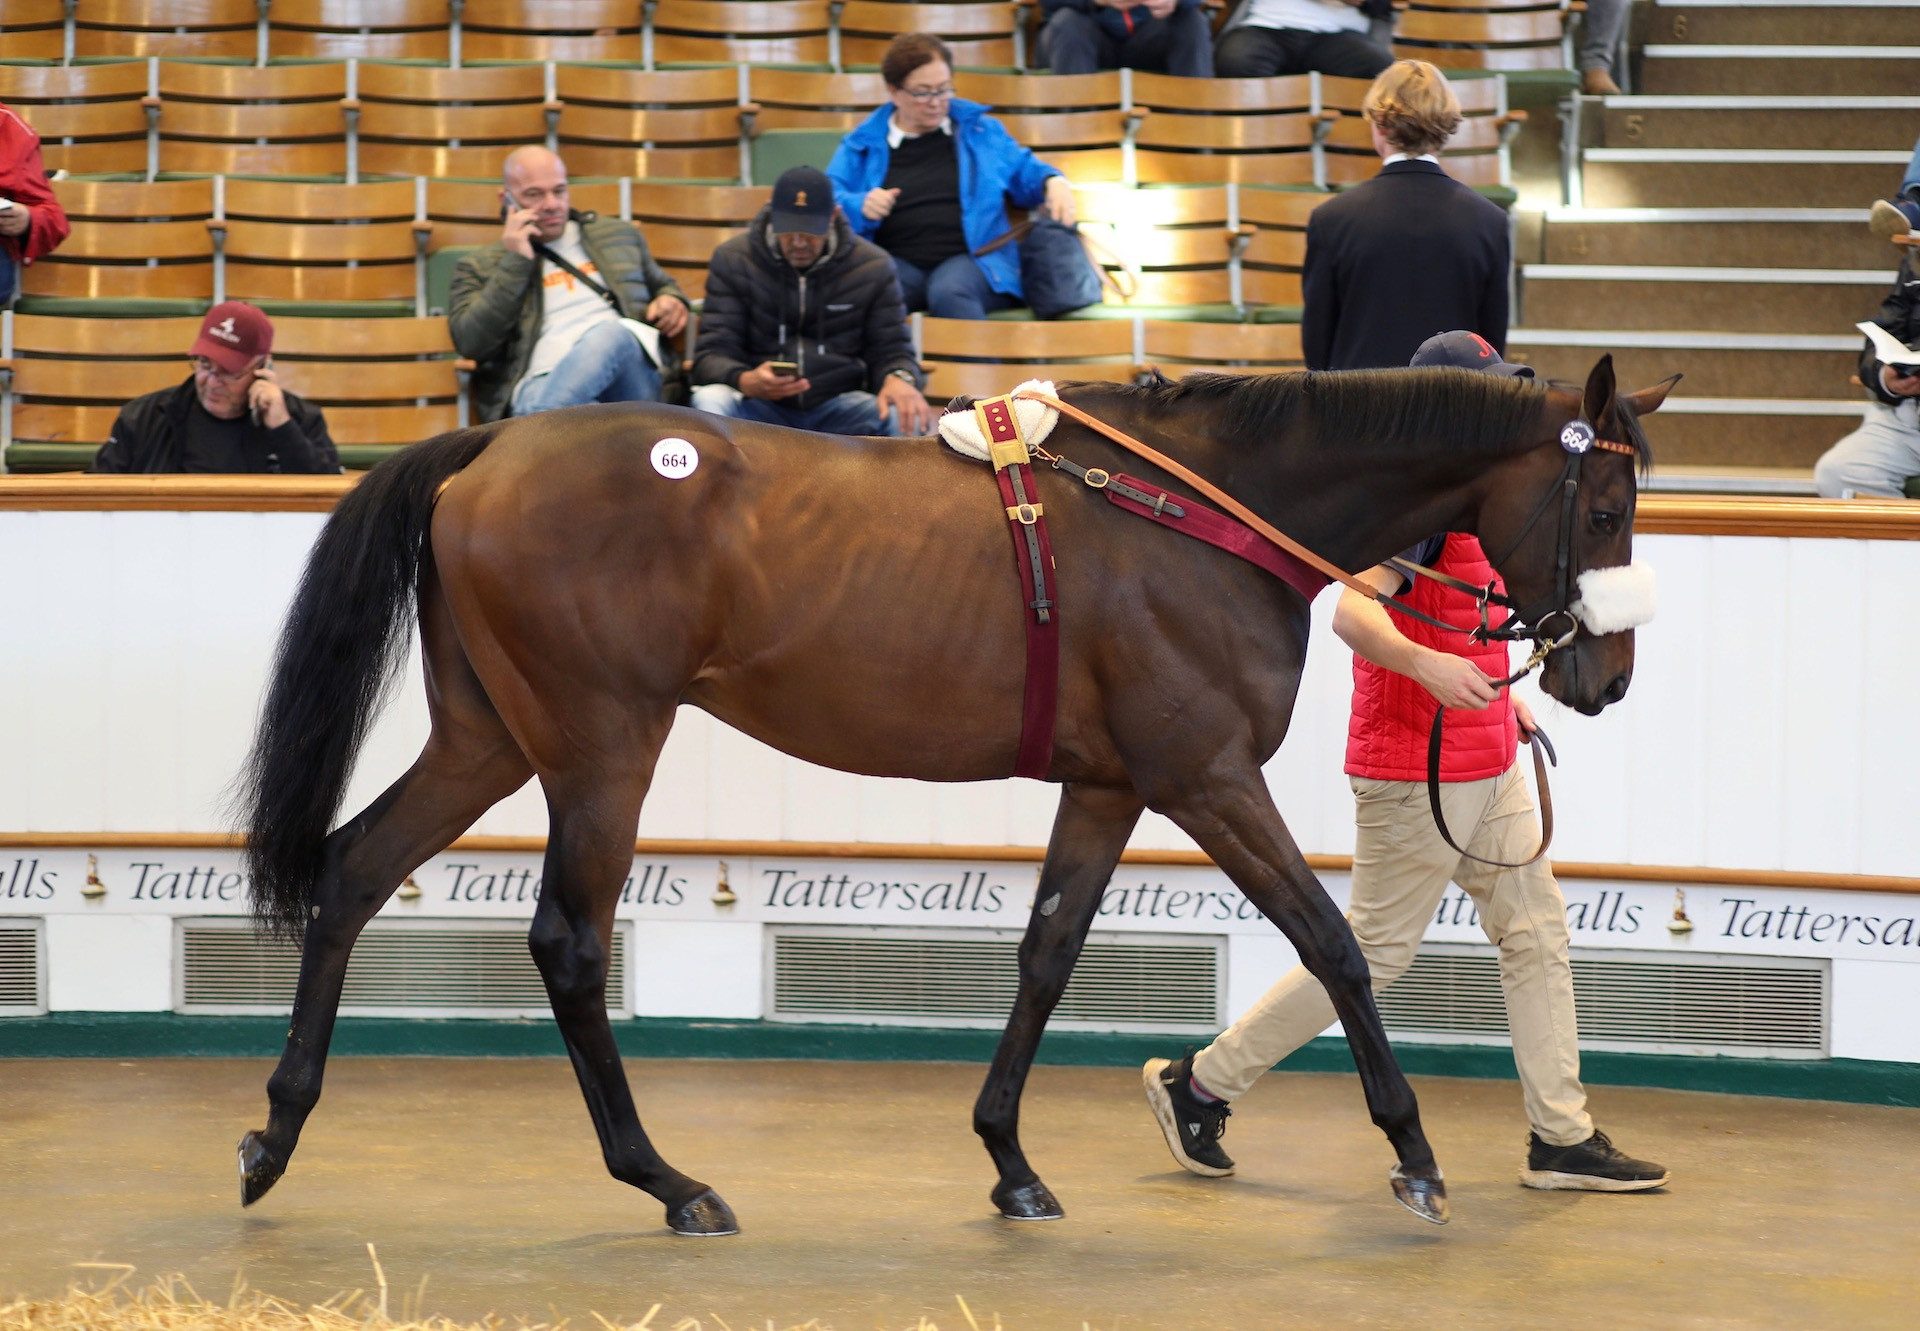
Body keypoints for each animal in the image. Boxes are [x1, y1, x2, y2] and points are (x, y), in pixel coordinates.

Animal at [232, 355, 1674, 1236]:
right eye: (1606, 504)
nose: (1604, 675)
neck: (1200, 514)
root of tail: (485, 444)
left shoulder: (1110, 784)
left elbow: (1047, 951)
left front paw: (1010, 1156)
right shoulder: (1206, 774)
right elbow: (1331, 944)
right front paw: (1414, 1153)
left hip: (490, 737)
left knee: (355, 868)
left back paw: (276, 1131)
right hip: (600, 745)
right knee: (569, 945)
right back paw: (667, 1177)